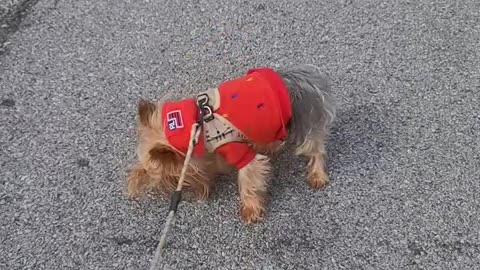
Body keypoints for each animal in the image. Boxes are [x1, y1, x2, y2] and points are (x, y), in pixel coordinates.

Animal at [125, 64, 336, 223]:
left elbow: (248, 178)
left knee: (316, 149)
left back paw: (317, 175)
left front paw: (250, 210)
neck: (197, 126)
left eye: (167, 177)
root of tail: (310, 78)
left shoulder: (236, 151)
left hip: (307, 121)